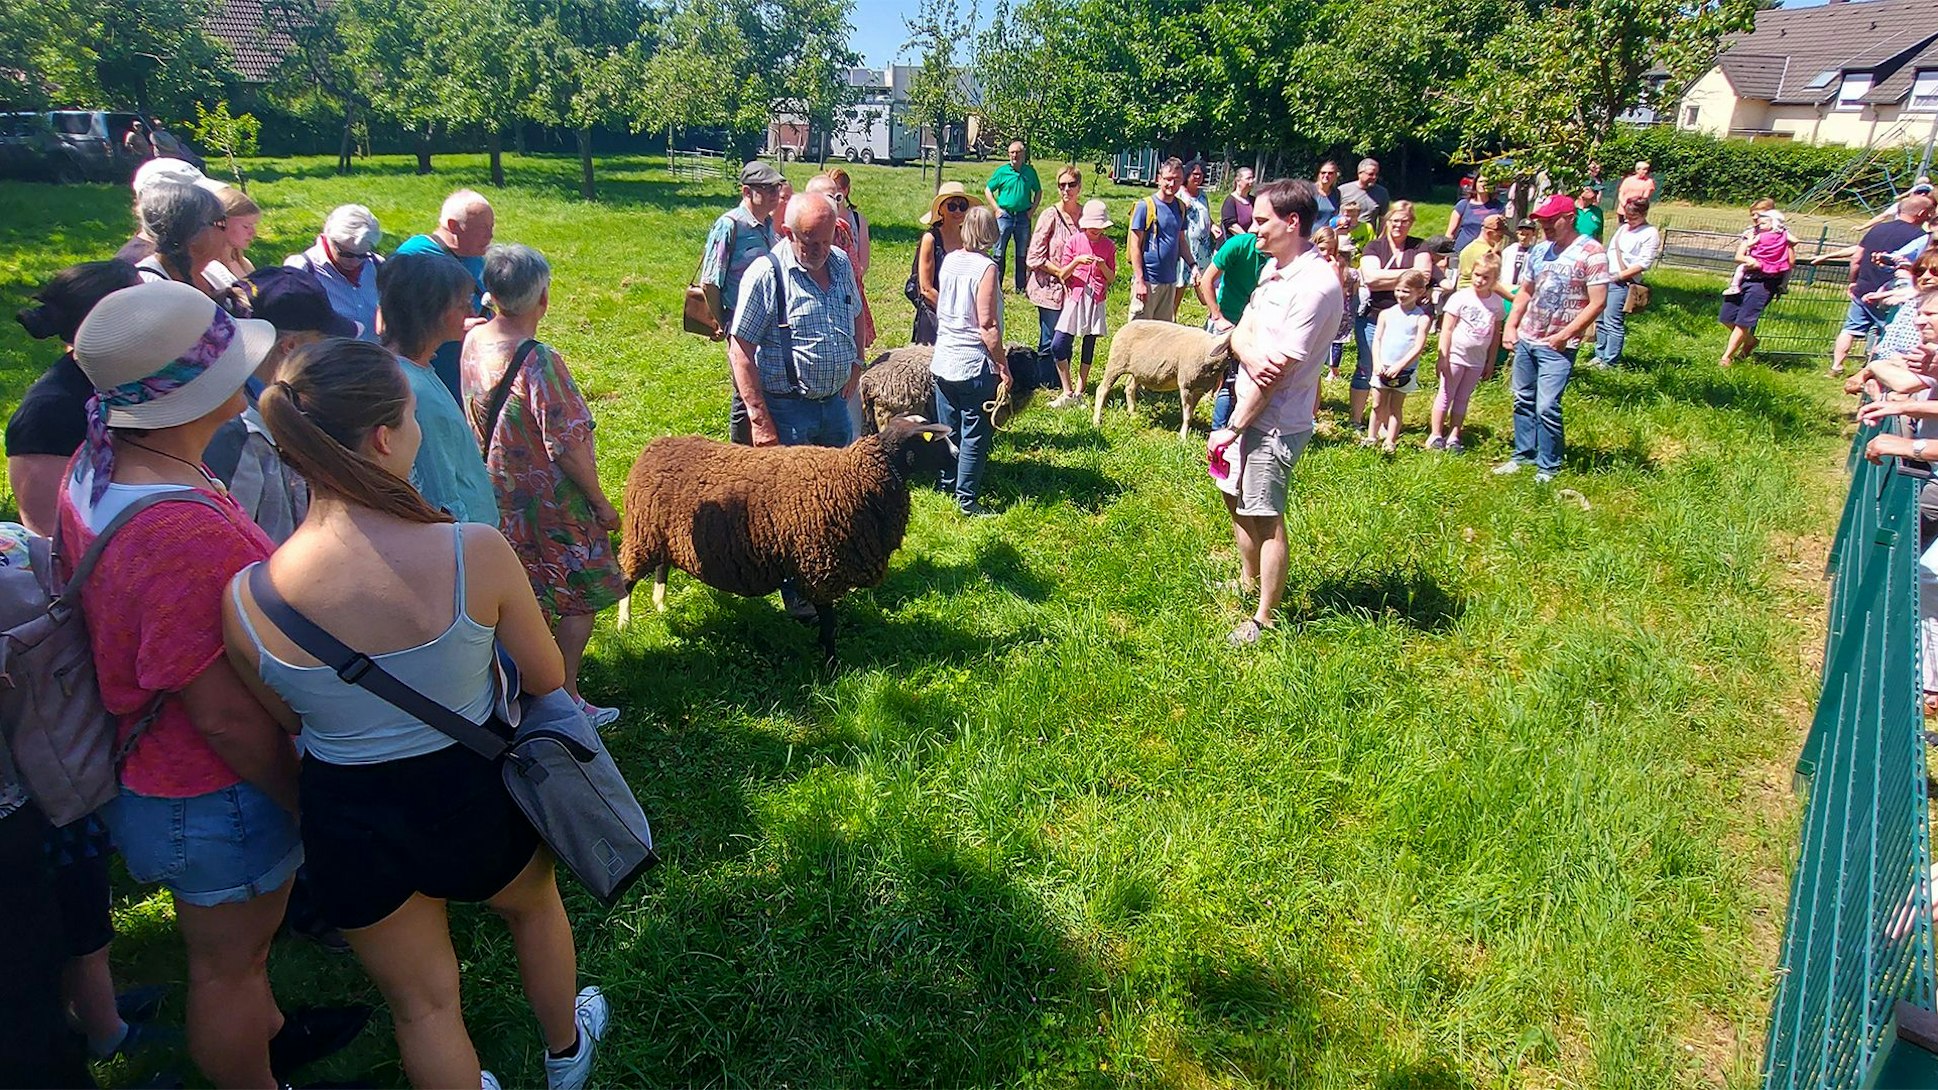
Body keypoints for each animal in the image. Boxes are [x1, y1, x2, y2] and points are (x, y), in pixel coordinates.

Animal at [616, 416, 958, 664]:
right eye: (932, 439)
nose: (957, 457)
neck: (858, 475)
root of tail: (654, 446)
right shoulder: (820, 566)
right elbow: (829, 620)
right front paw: (830, 663)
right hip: (641, 535)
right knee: (625, 579)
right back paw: (624, 625)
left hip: (662, 537)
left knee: (661, 567)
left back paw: (660, 604)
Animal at [1090, 321, 1234, 439]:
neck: (1208, 348)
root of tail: (1124, 326)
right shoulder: (1186, 385)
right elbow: (1187, 415)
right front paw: (1183, 437)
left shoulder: (1199, 388)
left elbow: (1191, 414)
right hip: (1116, 362)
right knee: (1102, 389)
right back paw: (1096, 421)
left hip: (1138, 371)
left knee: (1129, 387)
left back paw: (1133, 413)